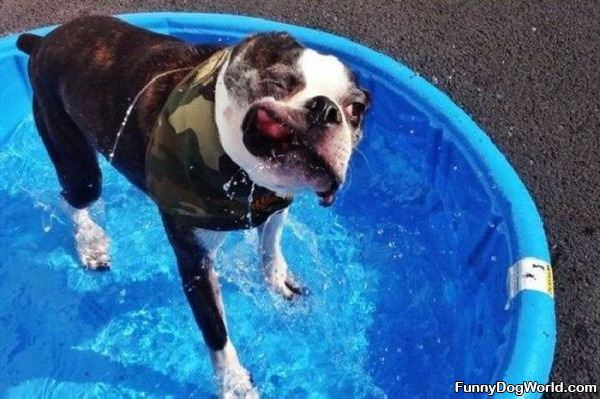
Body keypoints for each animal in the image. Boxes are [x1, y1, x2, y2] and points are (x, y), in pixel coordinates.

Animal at [16, 14, 368, 396]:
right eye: (276, 82)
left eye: (356, 109)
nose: (325, 108)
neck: (242, 173)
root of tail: (43, 41)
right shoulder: (195, 262)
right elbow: (216, 331)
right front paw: (234, 382)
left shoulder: (278, 202)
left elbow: (271, 245)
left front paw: (277, 280)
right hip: (74, 158)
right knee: (73, 198)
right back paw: (90, 242)